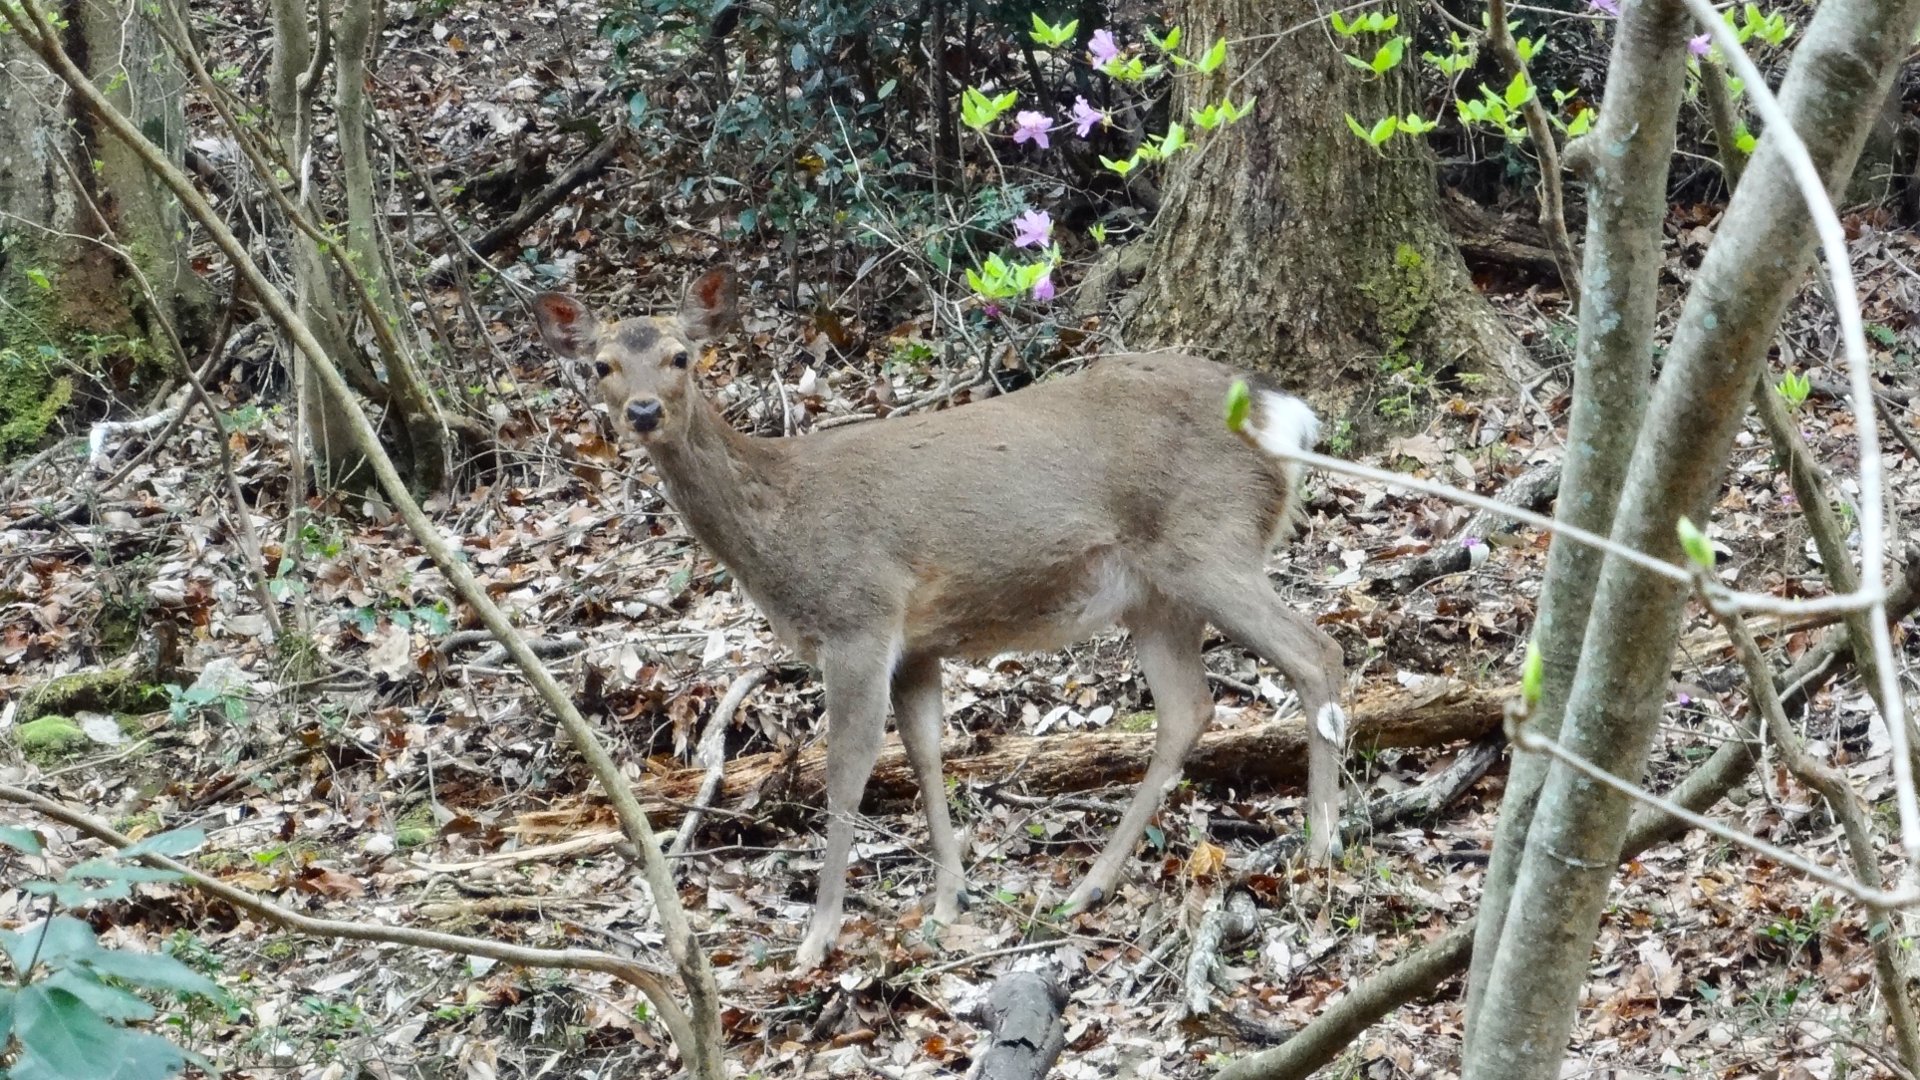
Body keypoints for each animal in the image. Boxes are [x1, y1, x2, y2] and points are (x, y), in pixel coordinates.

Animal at [533, 267, 1351, 968]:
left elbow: (847, 769)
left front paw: (818, 937)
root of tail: (1289, 416)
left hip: (1209, 543)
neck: (779, 530)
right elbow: (926, 752)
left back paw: (1319, 847)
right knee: (1189, 707)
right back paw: (1091, 886)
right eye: (602, 365)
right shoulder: (916, 644)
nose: (643, 412)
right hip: (1153, 593)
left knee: (1318, 653)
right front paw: (950, 896)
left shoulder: (859, 618)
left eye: (681, 356)